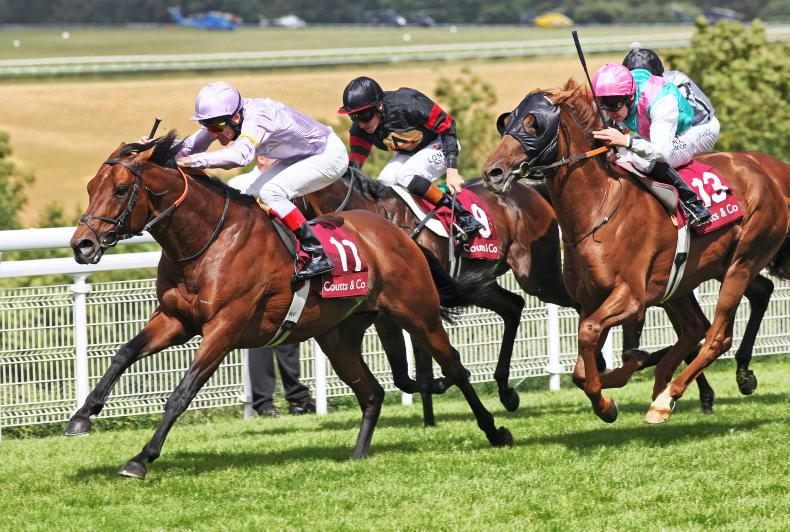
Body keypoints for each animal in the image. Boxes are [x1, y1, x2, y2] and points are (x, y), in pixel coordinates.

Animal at [64, 133, 512, 479]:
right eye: (89, 187)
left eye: (121, 190)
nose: (82, 245)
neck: (207, 241)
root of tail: (399, 233)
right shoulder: (175, 319)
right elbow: (124, 353)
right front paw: (81, 416)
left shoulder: (225, 327)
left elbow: (182, 392)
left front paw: (141, 459)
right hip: (338, 335)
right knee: (371, 392)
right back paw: (358, 455)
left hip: (417, 314)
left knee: (455, 367)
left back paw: (497, 428)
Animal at [482, 79, 789, 423]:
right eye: (506, 122)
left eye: (533, 124)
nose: (493, 172)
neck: (598, 208)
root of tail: (767, 173)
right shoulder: (591, 299)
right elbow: (581, 369)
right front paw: (610, 392)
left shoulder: (630, 296)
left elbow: (588, 333)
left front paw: (606, 403)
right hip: (686, 279)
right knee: (699, 326)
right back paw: (663, 383)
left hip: (741, 263)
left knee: (716, 337)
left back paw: (666, 397)